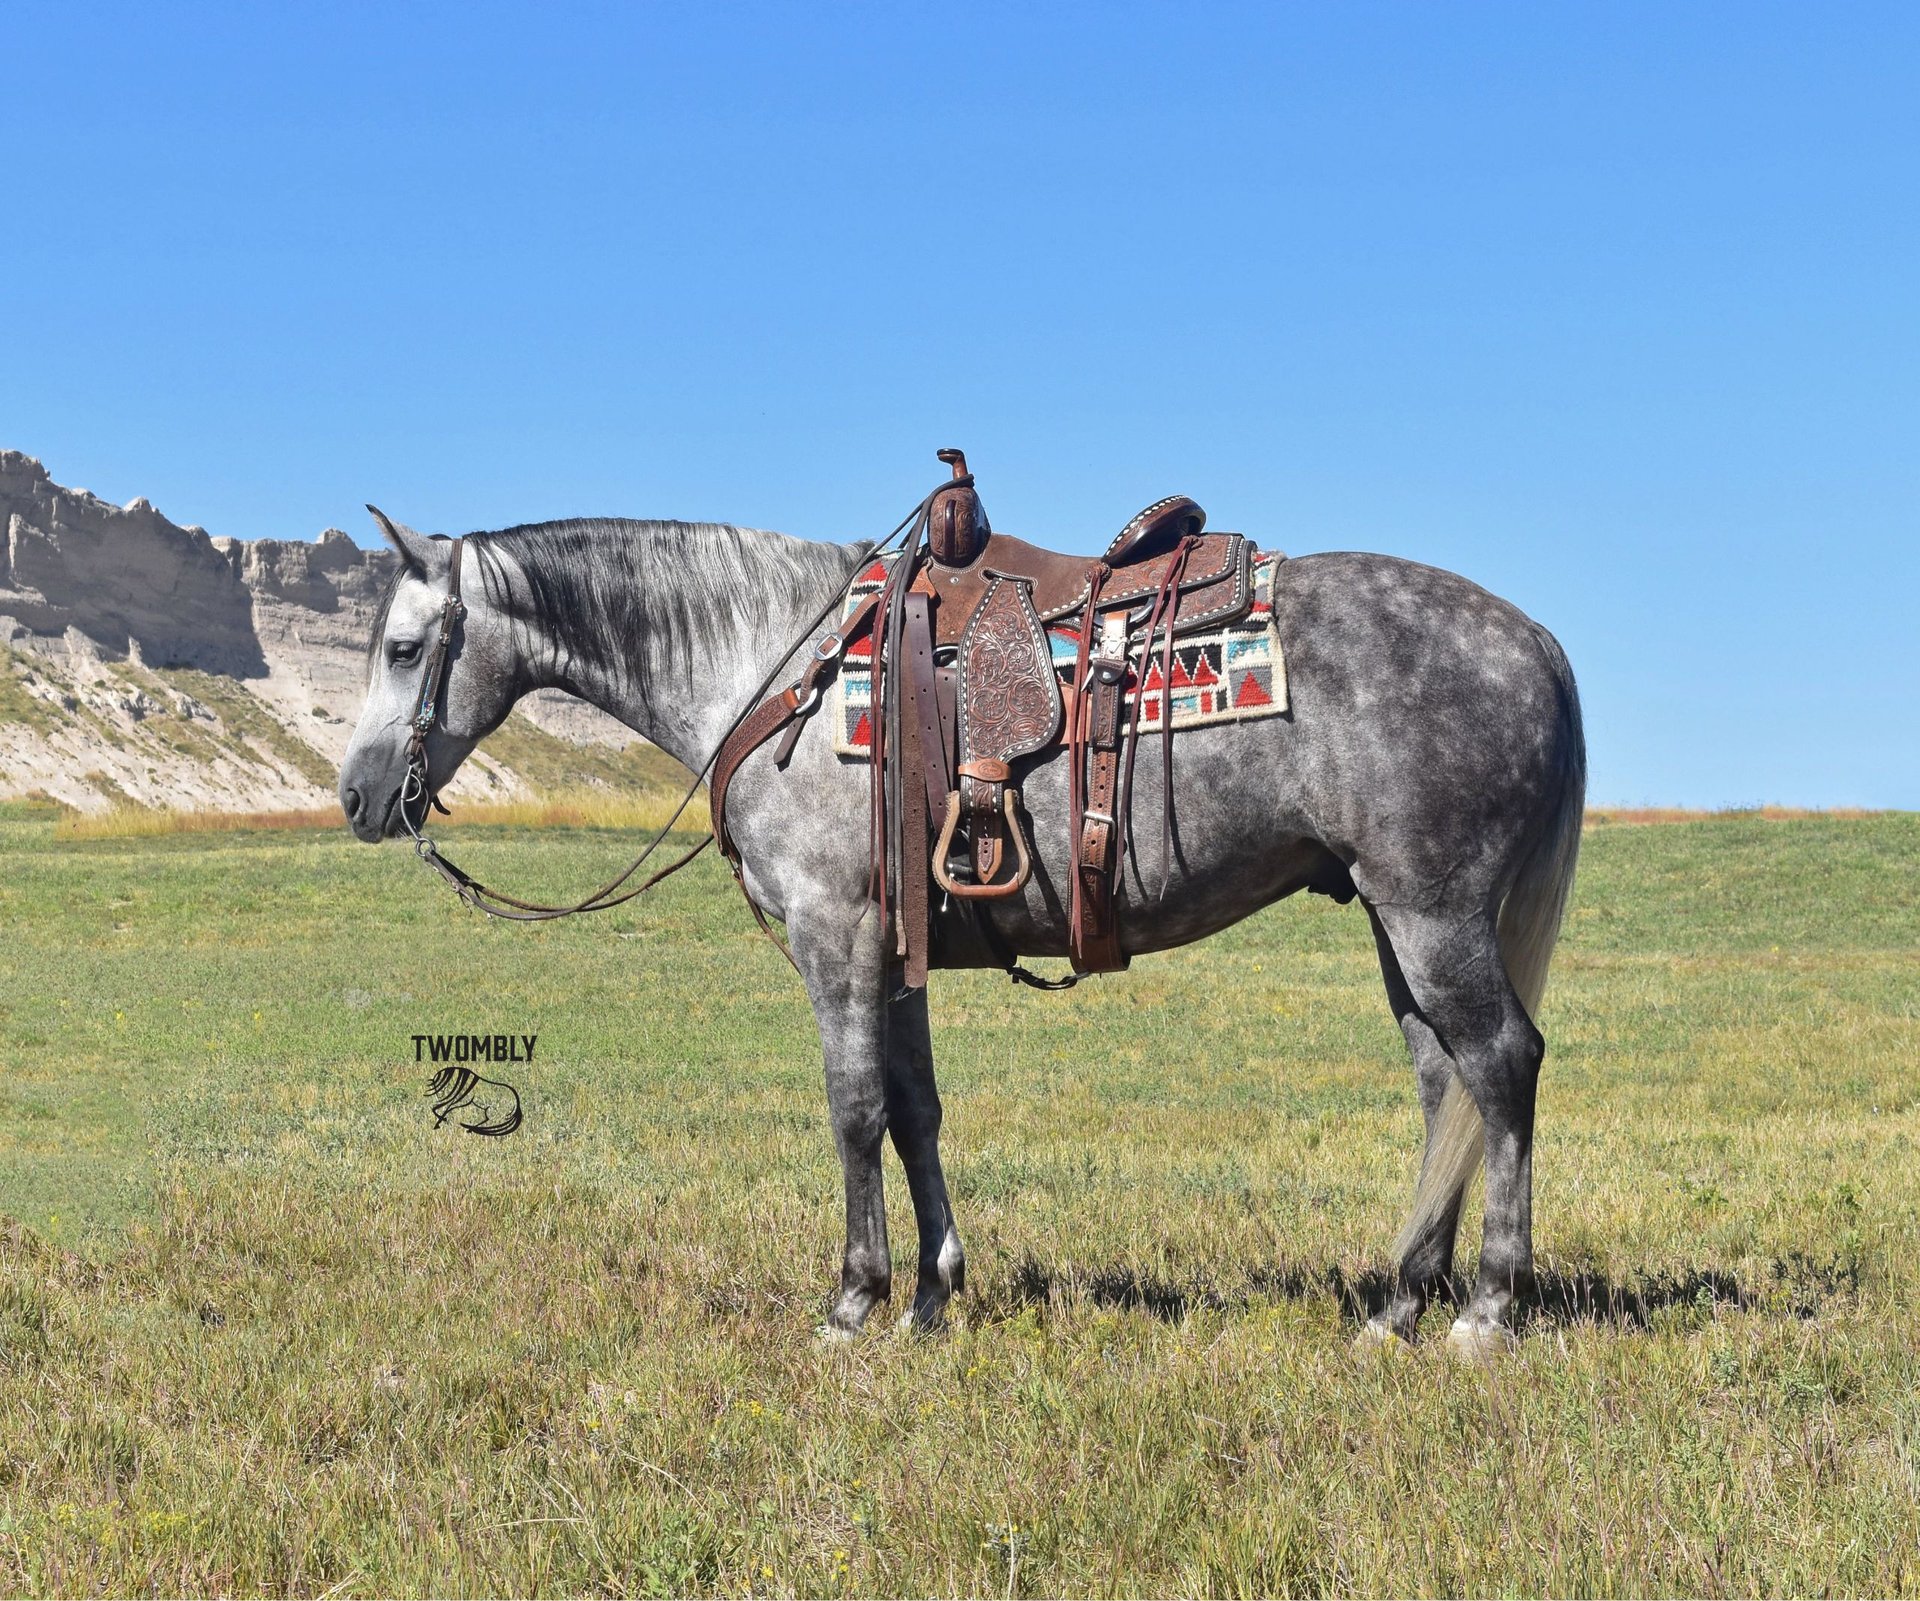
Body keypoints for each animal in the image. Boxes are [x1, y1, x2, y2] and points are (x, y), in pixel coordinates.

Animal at [339, 502, 1584, 1355]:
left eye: (402, 648)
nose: (358, 796)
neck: (774, 669)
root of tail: (1536, 639)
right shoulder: (899, 952)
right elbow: (915, 1111)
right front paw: (935, 1290)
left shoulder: (836, 935)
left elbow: (853, 1111)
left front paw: (856, 1297)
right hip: (1394, 916)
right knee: (1444, 1081)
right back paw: (1399, 1299)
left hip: (1432, 910)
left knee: (1500, 1063)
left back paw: (1487, 1305)